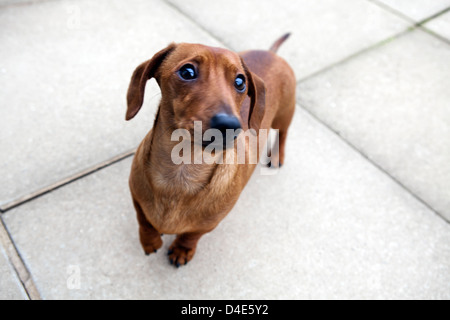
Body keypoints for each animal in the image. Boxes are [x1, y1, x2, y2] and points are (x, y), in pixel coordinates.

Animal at [125, 33, 296, 268]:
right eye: (187, 72)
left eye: (240, 82)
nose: (230, 125)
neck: (183, 168)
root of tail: (271, 53)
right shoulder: (136, 197)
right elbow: (144, 220)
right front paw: (150, 241)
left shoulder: (208, 224)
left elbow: (191, 235)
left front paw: (182, 250)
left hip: (285, 114)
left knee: (283, 134)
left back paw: (277, 155)